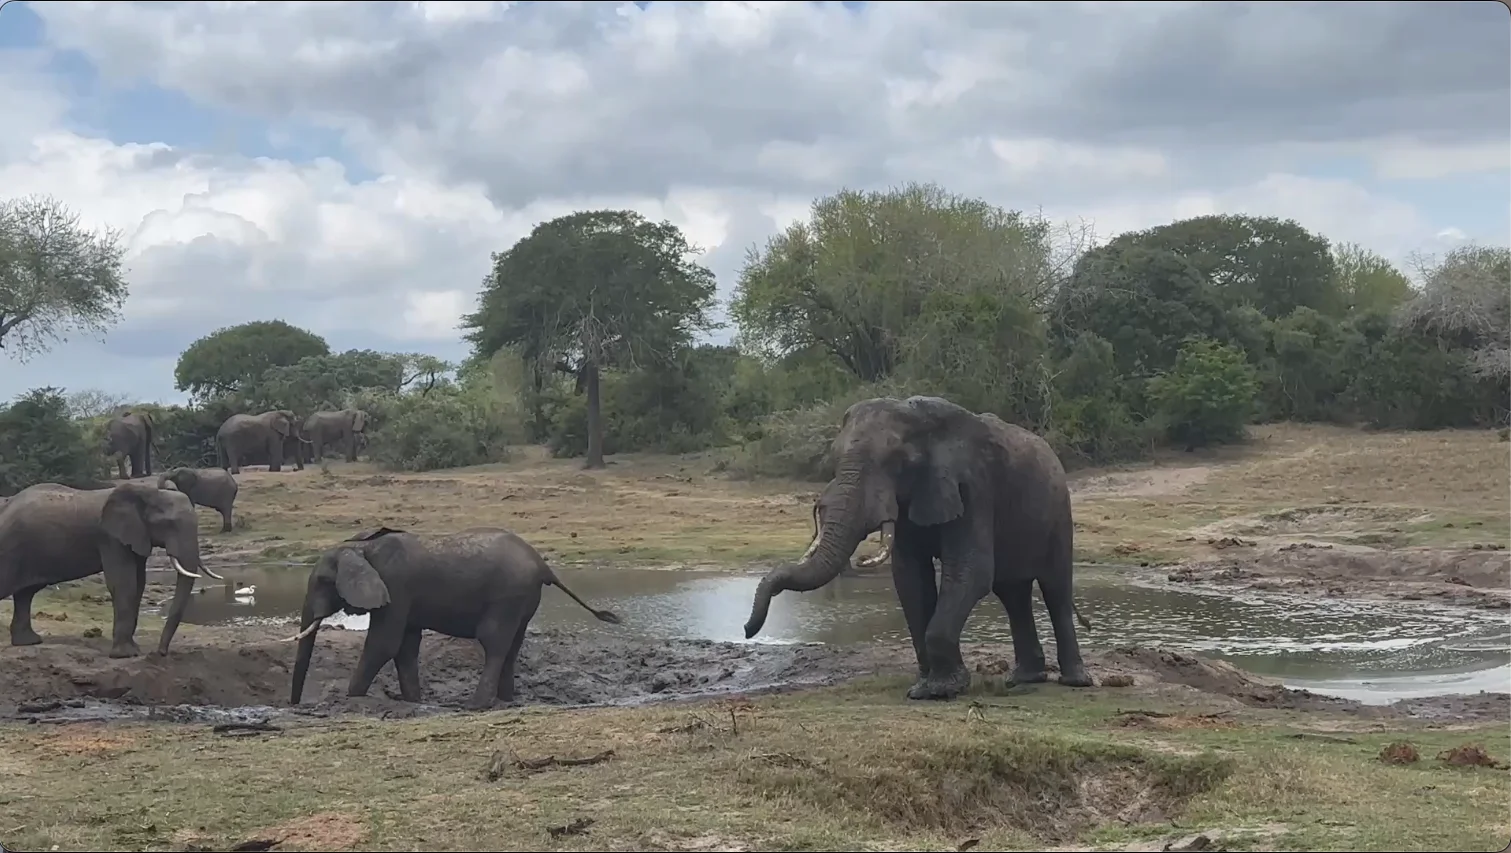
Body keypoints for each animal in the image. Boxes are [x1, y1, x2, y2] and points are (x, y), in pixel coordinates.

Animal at [0, 480, 221, 658]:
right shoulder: (110, 538)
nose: (160, 653)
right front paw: (126, 655)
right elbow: (124, 583)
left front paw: (132, 651)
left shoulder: (135, 537)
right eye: (169, 525)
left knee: (25, 594)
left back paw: (29, 642)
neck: (148, 493)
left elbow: (139, 584)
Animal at [285, 526, 622, 711]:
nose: (294, 704)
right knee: (512, 646)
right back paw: (506, 700)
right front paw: (414, 702)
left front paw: (351, 698)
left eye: (323, 582)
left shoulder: (396, 586)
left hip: (507, 596)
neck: (361, 548)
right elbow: (405, 648)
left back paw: (475, 705)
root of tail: (543, 565)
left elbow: (384, 644)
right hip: (523, 599)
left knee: (494, 642)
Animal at [743, 395, 1094, 701]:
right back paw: (1023, 679)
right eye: (833, 457)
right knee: (1013, 594)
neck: (919, 419)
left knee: (1054, 589)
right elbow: (910, 578)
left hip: (1059, 511)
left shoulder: (973, 487)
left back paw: (1075, 681)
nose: (748, 629)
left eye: (896, 461)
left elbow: (970, 572)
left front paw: (940, 690)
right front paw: (926, 686)